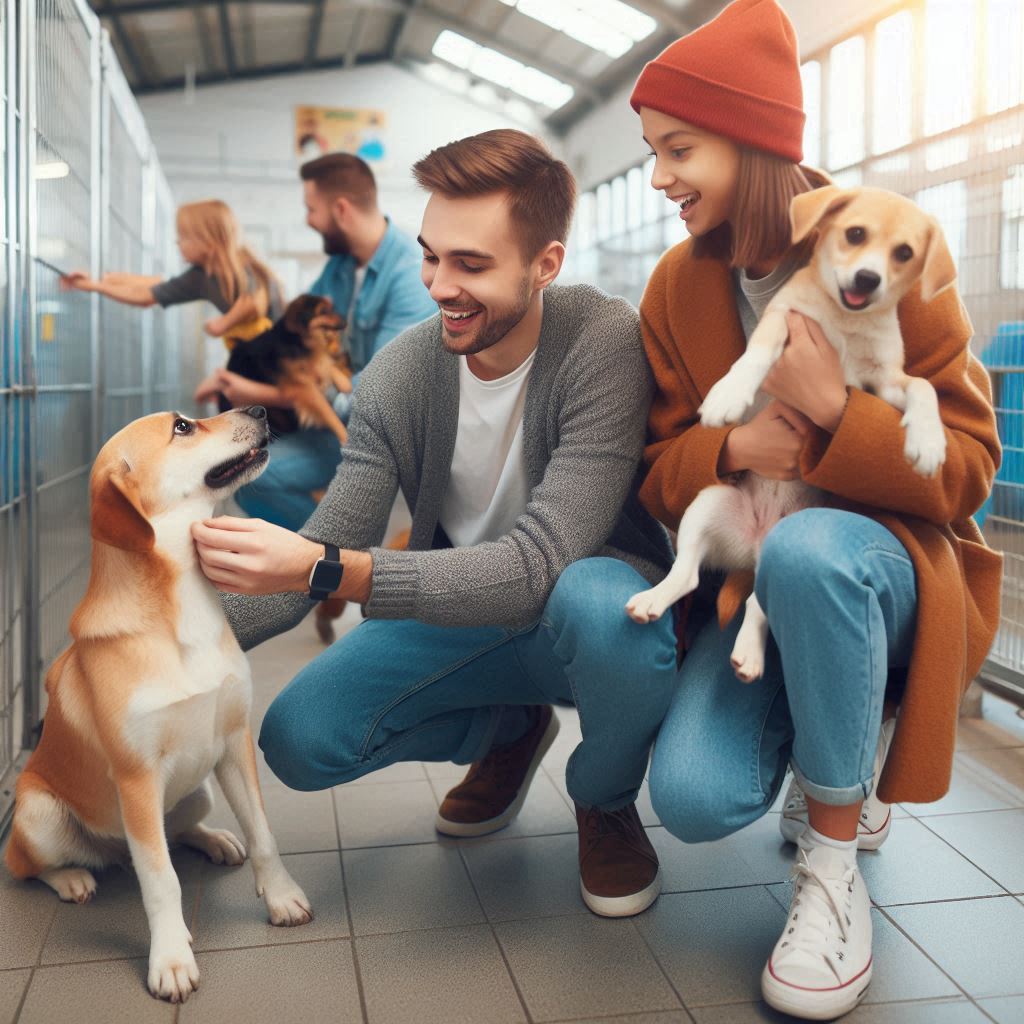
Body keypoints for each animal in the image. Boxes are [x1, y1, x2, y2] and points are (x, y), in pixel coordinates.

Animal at [4, 405, 311, 999]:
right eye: (182, 428)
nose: (262, 409)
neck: (181, 608)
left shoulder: (235, 744)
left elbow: (262, 833)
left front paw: (282, 896)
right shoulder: (137, 779)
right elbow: (160, 879)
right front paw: (171, 959)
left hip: (200, 790)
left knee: (180, 830)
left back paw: (216, 841)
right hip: (38, 813)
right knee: (25, 865)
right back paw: (71, 877)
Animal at [224, 292, 352, 444]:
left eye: (331, 308)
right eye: (324, 311)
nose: (346, 322)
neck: (297, 341)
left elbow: (326, 364)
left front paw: (344, 383)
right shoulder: (303, 388)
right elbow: (327, 412)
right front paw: (345, 436)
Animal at [622, 186, 958, 679]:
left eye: (904, 253)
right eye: (855, 234)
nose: (867, 280)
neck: (845, 320)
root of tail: (754, 547)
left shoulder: (885, 381)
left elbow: (924, 387)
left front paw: (928, 441)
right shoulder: (783, 321)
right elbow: (758, 353)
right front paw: (730, 394)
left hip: (780, 552)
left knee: (758, 607)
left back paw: (748, 653)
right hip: (707, 504)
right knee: (686, 574)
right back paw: (653, 600)